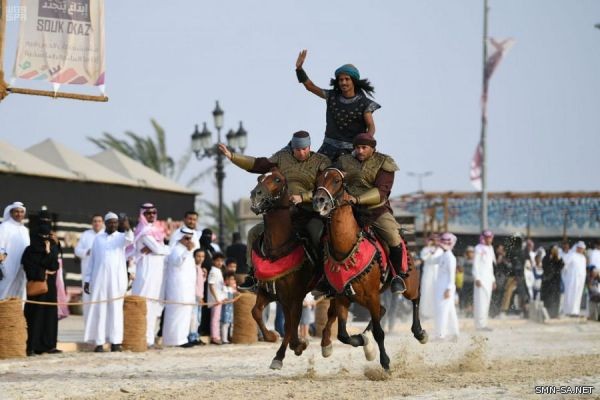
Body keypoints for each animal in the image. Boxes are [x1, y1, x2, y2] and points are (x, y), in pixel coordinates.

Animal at [247, 168, 316, 368]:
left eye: (277, 179)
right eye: (259, 177)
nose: (255, 194)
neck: (276, 250)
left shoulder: (296, 296)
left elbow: (291, 324)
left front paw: (283, 353)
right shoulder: (271, 292)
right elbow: (256, 312)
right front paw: (271, 336)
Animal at [314, 167, 426, 370]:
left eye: (336, 181)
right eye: (318, 179)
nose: (319, 201)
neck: (345, 247)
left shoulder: (372, 295)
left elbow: (379, 333)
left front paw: (385, 362)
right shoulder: (342, 297)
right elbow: (343, 335)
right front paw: (363, 341)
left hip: (408, 283)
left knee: (415, 297)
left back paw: (420, 332)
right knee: (377, 312)